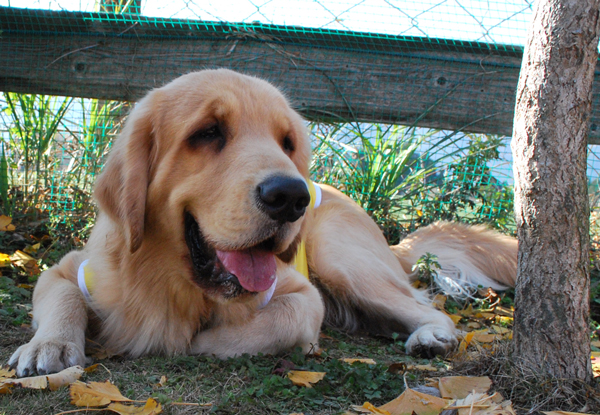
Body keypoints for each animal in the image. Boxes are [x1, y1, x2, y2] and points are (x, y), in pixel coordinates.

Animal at [8, 69, 516, 376]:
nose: (292, 197)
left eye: (287, 142)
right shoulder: (69, 268)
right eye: (208, 133)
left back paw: (432, 337)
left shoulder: (302, 294)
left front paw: (197, 340)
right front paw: (49, 346)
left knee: (429, 307)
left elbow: (275, 323)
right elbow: (62, 297)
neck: (176, 284)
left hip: (341, 261)